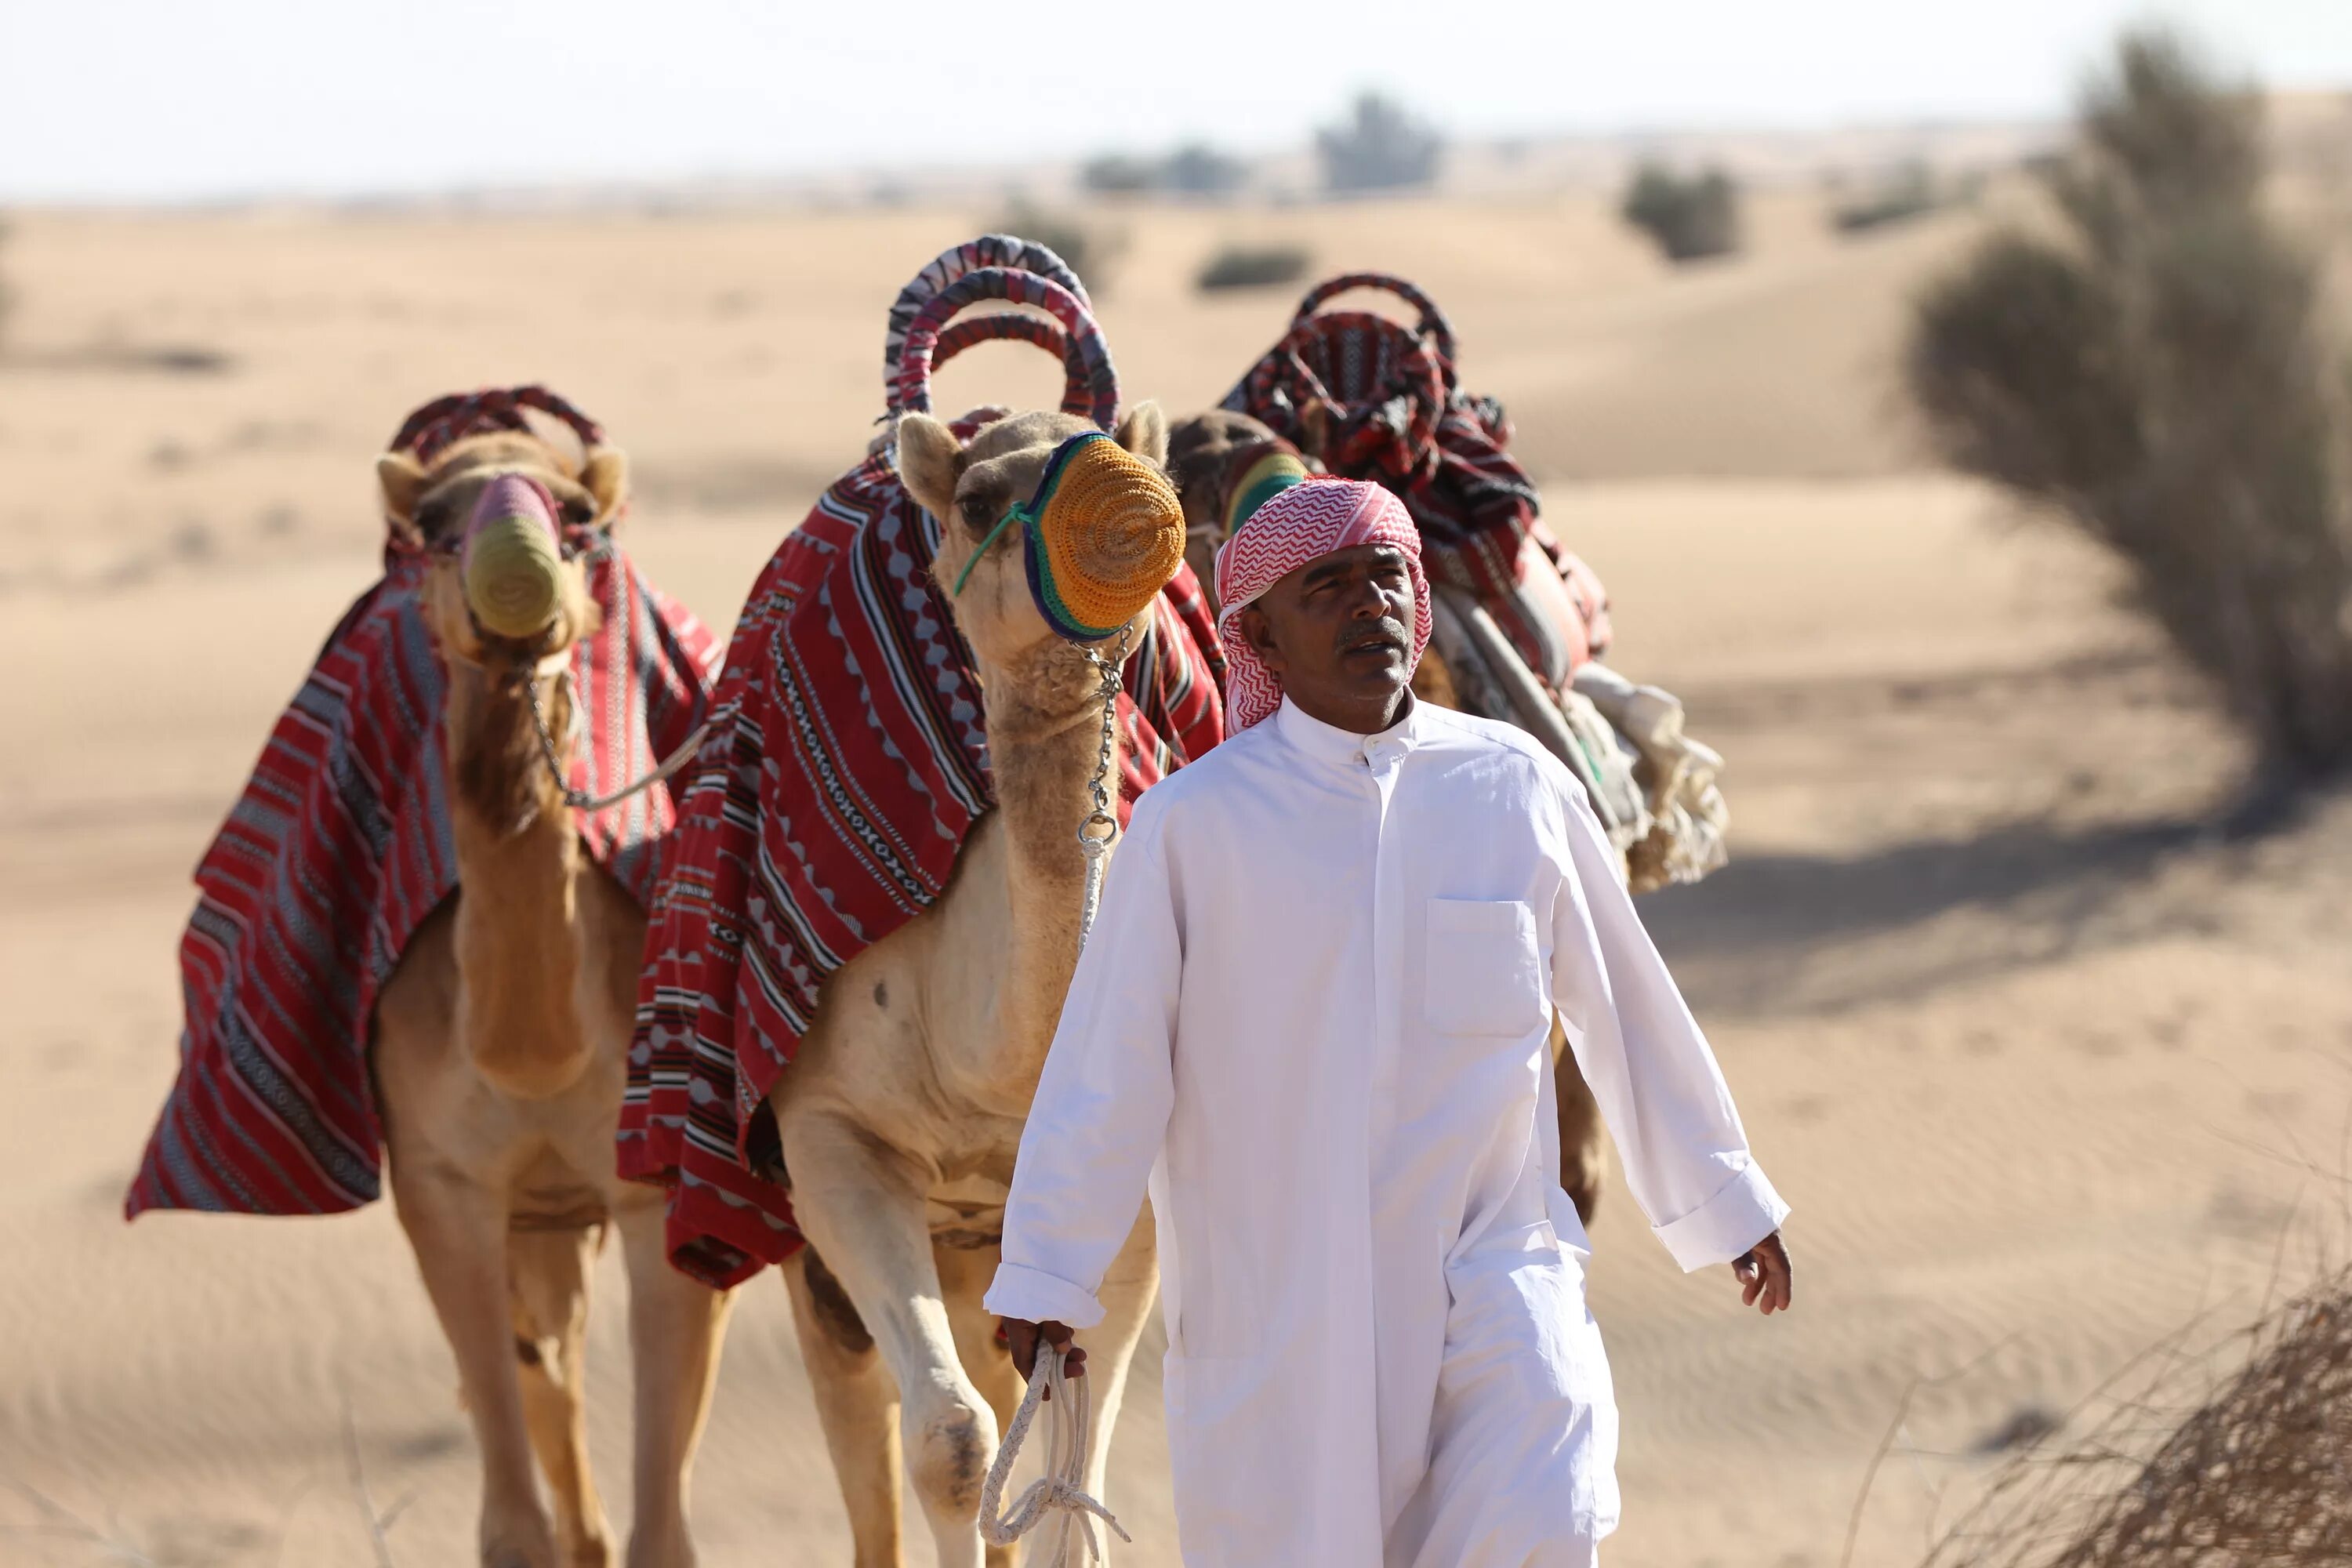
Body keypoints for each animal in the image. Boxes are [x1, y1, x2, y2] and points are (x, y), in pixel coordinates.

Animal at [372, 423, 734, 1561]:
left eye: (578, 518)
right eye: (431, 524)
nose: (514, 575)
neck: (532, 1051)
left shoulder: (658, 1189)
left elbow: (666, 1530)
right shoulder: (441, 1183)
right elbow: (515, 1525)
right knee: (549, 1365)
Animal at [771, 404, 1176, 1568]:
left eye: (1143, 460)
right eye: (982, 498)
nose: (1128, 515)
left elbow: (1075, 1483)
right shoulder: (834, 1133)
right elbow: (951, 1442)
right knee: (865, 1425)